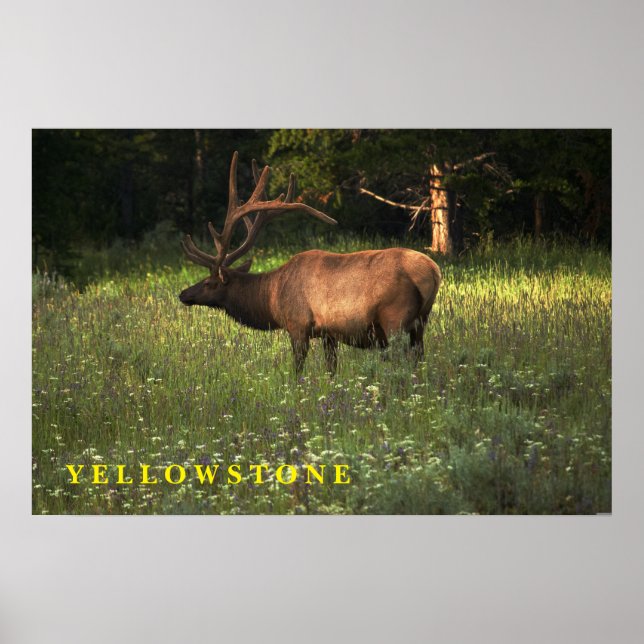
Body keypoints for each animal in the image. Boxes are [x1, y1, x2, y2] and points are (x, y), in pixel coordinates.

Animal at [179, 152, 442, 375]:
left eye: (208, 282)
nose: (183, 294)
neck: (272, 298)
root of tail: (433, 272)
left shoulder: (298, 325)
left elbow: (297, 369)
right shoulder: (329, 334)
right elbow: (331, 369)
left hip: (394, 318)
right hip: (421, 322)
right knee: (419, 358)